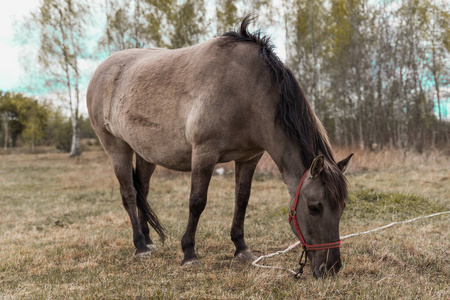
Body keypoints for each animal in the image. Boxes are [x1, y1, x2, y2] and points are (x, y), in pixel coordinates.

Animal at [87, 15, 352, 278]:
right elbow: (197, 202)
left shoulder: (249, 158)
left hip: (146, 153)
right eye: (314, 207)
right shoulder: (204, 153)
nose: (331, 268)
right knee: (129, 194)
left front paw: (241, 248)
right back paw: (140, 246)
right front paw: (189, 253)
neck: (246, 91)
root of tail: (101, 70)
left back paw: (149, 240)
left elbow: (242, 200)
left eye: (341, 207)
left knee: (142, 189)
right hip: (116, 148)